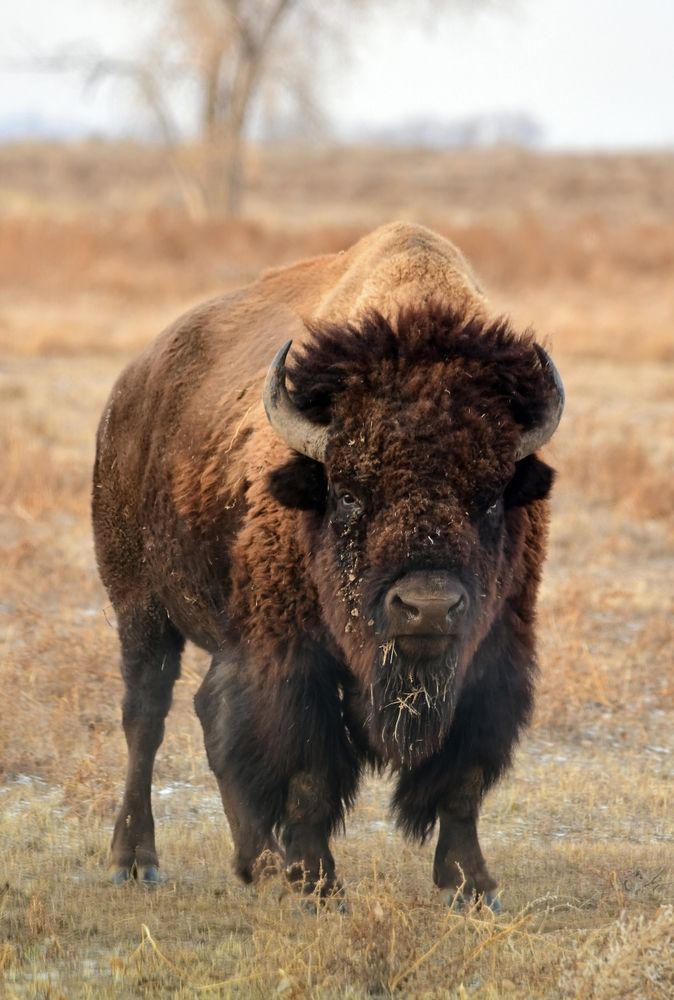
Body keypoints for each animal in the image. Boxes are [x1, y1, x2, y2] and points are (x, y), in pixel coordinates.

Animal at [92, 222, 563, 906]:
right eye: (347, 494)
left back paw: (257, 863)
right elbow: (309, 774)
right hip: (140, 606)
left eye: (493, 496)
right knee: (146, 718)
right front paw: (317, 885)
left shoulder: (492, 657)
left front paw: (471, 886)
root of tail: (131, 389)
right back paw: (135, 861)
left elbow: (463, 779)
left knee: (208, 712)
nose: (428, 607)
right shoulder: (296, 660)